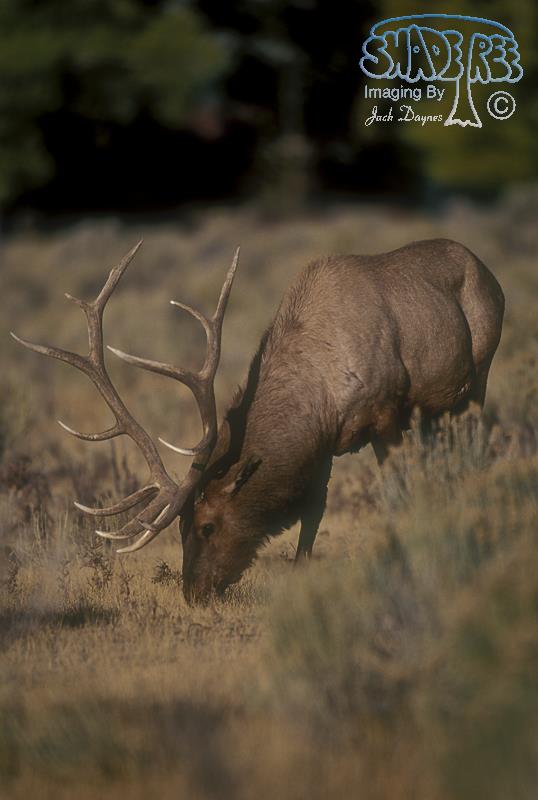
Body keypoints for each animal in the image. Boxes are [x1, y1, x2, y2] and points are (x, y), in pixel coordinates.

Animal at [12, 237, 504, 601]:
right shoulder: (325, 446)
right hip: (437, 412)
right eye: (181, 528)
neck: (320, 389)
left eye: (207, 525)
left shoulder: (387, 411)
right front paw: (301, 572)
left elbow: (397, 489)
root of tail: (490, 273)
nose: (193, 593)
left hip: (477, 377)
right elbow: (314, 512)